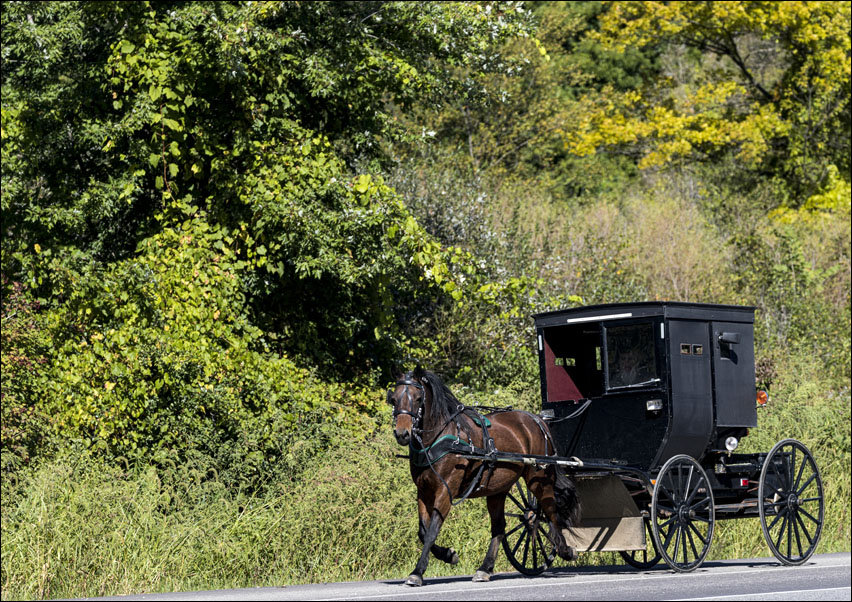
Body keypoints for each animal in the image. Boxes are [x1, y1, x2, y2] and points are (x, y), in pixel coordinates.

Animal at [387, 367, 580, 586]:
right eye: (394, 399)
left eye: (419, 398)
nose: (402, 433)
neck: (440, 438)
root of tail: (537, 420)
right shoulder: (424, 491)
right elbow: (423, 531)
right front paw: (448, 555)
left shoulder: (446, 490)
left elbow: (432, 531)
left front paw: (418, 572)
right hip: (498, 489)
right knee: (499, 527)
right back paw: (485, 569)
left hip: (538, 479)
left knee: (550, 511)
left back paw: (565, 550)